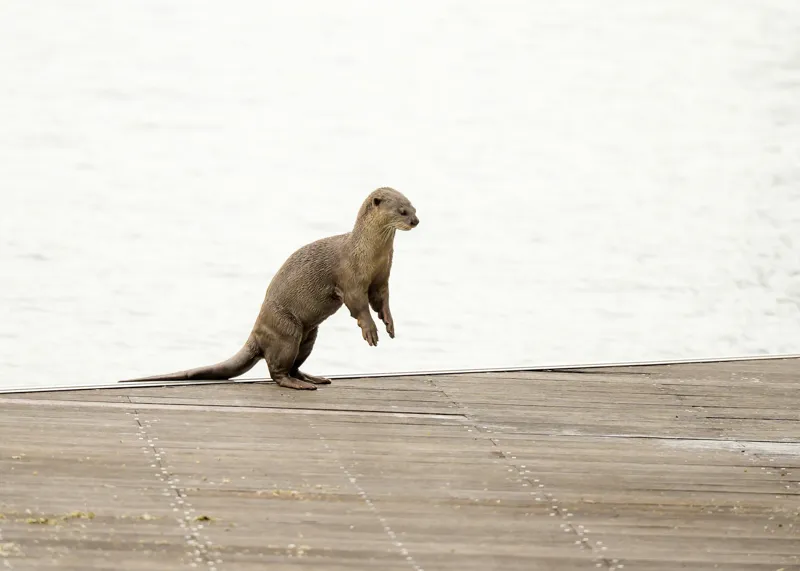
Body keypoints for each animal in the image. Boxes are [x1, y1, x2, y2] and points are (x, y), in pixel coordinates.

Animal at [121, 187, 419, 390]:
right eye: (401, 211)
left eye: (414, 207)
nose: (415, 221)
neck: (368, 254)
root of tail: (257, 332)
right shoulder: (350, 278)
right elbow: (358, 305)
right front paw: (370, 330)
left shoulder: (381, 278)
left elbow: (381, 300)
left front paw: (389, 323)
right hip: (287, 332)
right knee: (276, 370)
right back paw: (298, 383)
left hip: (308, 336)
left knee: (294, 364)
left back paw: (313, 378)